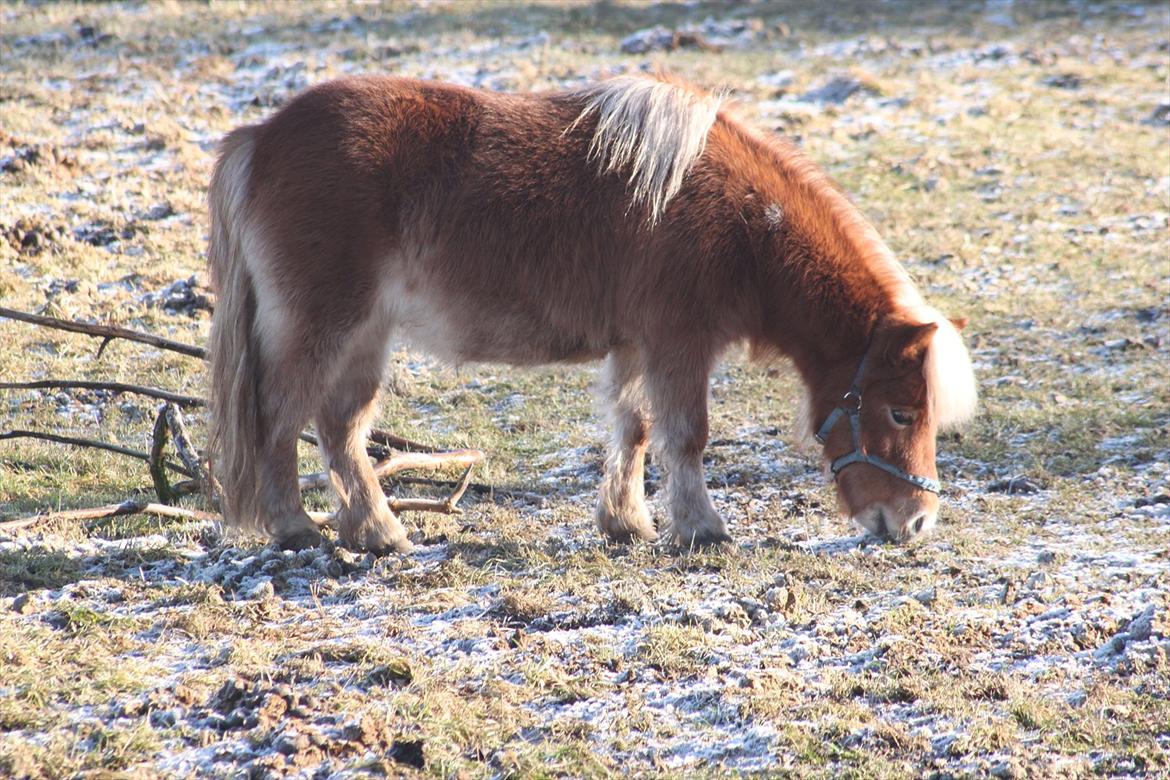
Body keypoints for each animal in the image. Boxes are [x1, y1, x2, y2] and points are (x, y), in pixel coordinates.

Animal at [208, 71, 978, 549]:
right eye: (901, 413)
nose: (916, 523)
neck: (741, 220)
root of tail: (262, 137)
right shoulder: (679, 342)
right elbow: (685, 435)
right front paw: (700, 529)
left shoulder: (637, 344)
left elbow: (633, 429)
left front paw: (626, 523)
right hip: (322, 326)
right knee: (279, 416)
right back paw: (295, 528)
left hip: (367, 335)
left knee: (341, 429)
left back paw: (377, 533)